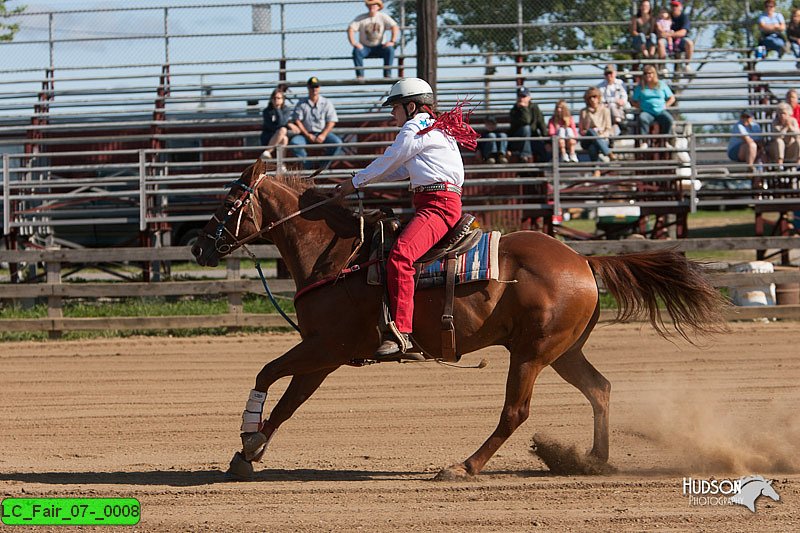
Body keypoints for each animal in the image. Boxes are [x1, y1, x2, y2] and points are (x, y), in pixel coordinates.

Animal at [192, 158, 724, 478]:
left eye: (231, 199)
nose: (198, 246)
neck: (337, 256)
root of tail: (582, 260)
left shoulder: (326, 346)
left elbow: (267, 374)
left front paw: (247, 440)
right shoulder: (324, 356)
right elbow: (289, 402)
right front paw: (248, 452)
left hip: (531, 353)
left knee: (515, 412)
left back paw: (464, 466)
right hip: (562, 350)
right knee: (600, 389)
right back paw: (592, 461)